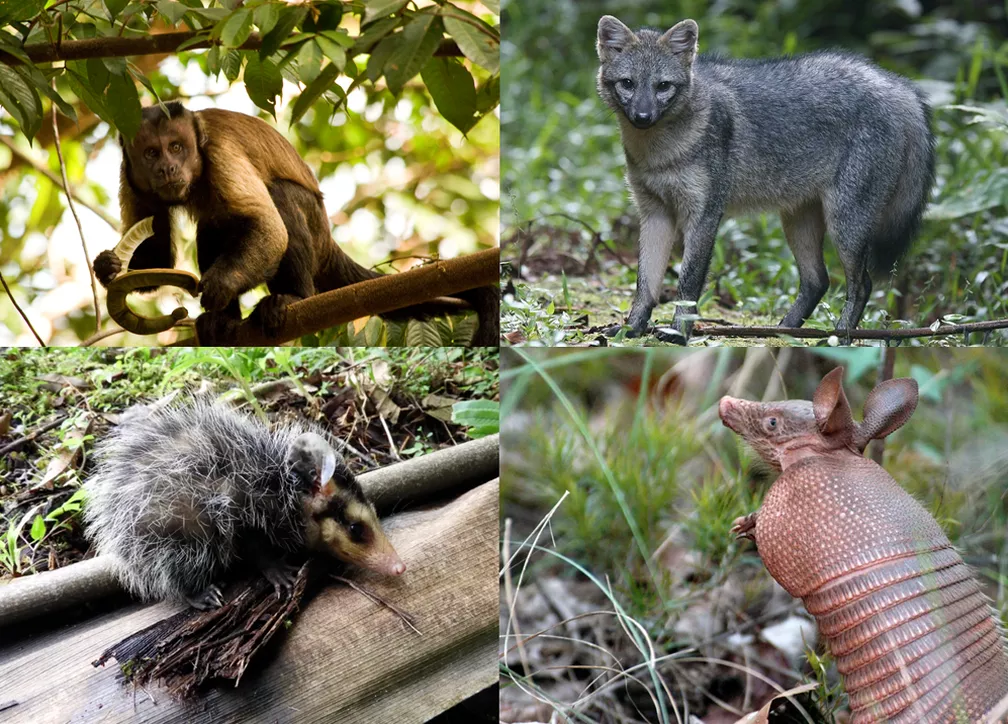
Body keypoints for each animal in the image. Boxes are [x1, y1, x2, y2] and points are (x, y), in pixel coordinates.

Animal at [96, 101, 497, 346]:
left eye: (177, 147)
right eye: (152, 153)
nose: (168, 168)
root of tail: (329, 242)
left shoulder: (219, 152)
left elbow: (270, 228)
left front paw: (220, 285)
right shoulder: (130, 177)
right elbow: (156, 253)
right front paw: (108, 266)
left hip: (315, 226)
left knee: (280, 199)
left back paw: (292, 299)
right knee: (211, 228)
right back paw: (221, 321)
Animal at [592, 16, 931, 342]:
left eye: (663, 86)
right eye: (628, 84)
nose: (643, 117)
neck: (660, 154)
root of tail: (896, 83)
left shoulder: (703, 215)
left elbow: (687, 283)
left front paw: (677, 334)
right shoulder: (654, 213)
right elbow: (645, 284)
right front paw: (631, 329)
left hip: (844, 227)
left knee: (861, 285)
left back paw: (840, 337)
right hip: (799, 224)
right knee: (817, 281)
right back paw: (787, 331)